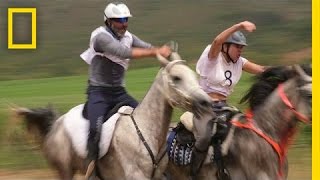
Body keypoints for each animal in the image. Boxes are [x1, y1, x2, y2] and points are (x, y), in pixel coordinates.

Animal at [13, 52, 214, 179]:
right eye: (177, 78)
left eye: (194, 76)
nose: (206, 102)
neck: (144, 133)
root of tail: (55, 124)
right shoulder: (136, 176)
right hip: (65, 170)